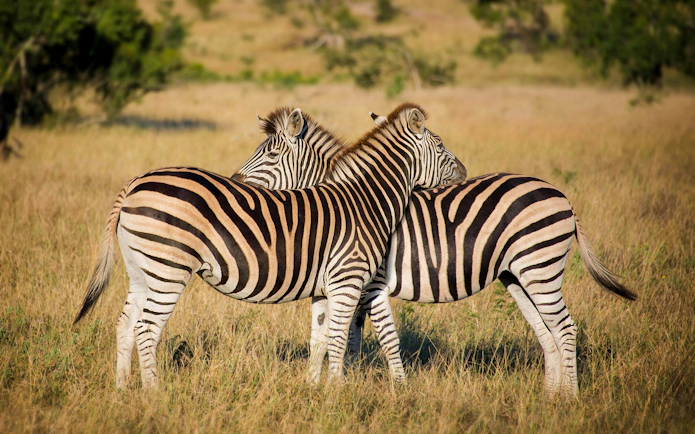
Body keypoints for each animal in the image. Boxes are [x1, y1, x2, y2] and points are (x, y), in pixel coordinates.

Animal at [74, 103, 467, 388]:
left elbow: (321, 339)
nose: (464, 171)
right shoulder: (352, 280)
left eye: (271, 156)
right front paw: (342, 392)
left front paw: (314, 390)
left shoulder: (325, 287)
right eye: (440, 145)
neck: (364, 200)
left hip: (143, 269)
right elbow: (347, 338)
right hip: (168, 269)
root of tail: (135, 182)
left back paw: (123, 391)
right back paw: (154, 394)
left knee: (125, 325)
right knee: (147, 329)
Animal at [233, 111, 637, 398]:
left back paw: (570, 399)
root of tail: (560, 194)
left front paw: (385, 391)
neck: (354, 202)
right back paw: (550, 397)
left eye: (270, 154)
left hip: (540, 266)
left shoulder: (370, 283)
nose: (235, 182)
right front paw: (331, 385)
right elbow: (348, 338)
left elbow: (372, 337)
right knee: (547, 329)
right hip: (518, 274)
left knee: (565, 328)